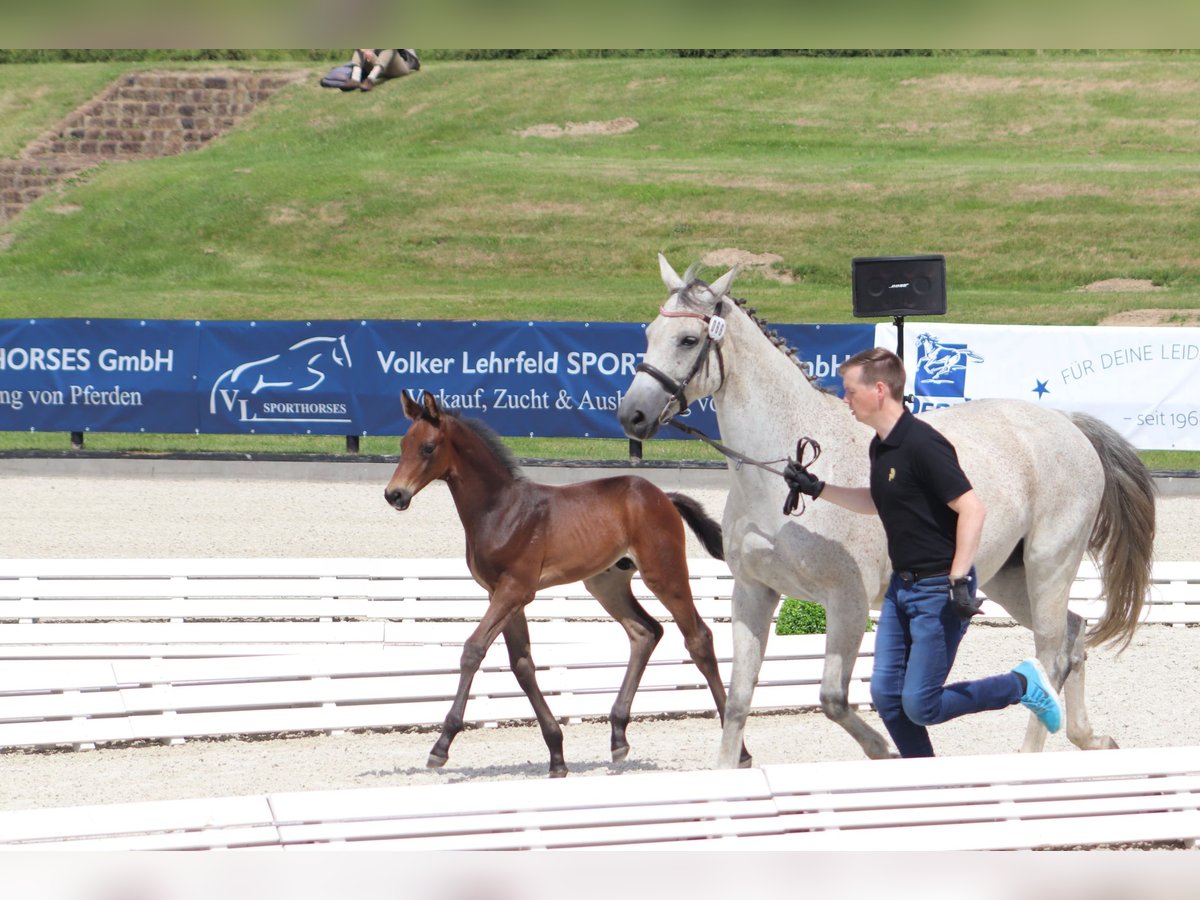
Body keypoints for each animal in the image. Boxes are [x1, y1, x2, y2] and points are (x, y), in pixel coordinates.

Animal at [619, 256, 1152, 772]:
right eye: (648, 334)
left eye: (689, 339)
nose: (632, 417)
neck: (776, 474)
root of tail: (1067, 423)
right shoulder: (754, 592)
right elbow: (738, 700)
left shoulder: (846, 601)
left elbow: (833, 698)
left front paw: (885, 752)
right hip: (1006, 577)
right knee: (1073, 634)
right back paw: (1091, 739)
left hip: (1049, 565)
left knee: (1049, 652)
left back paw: (1031, 755)